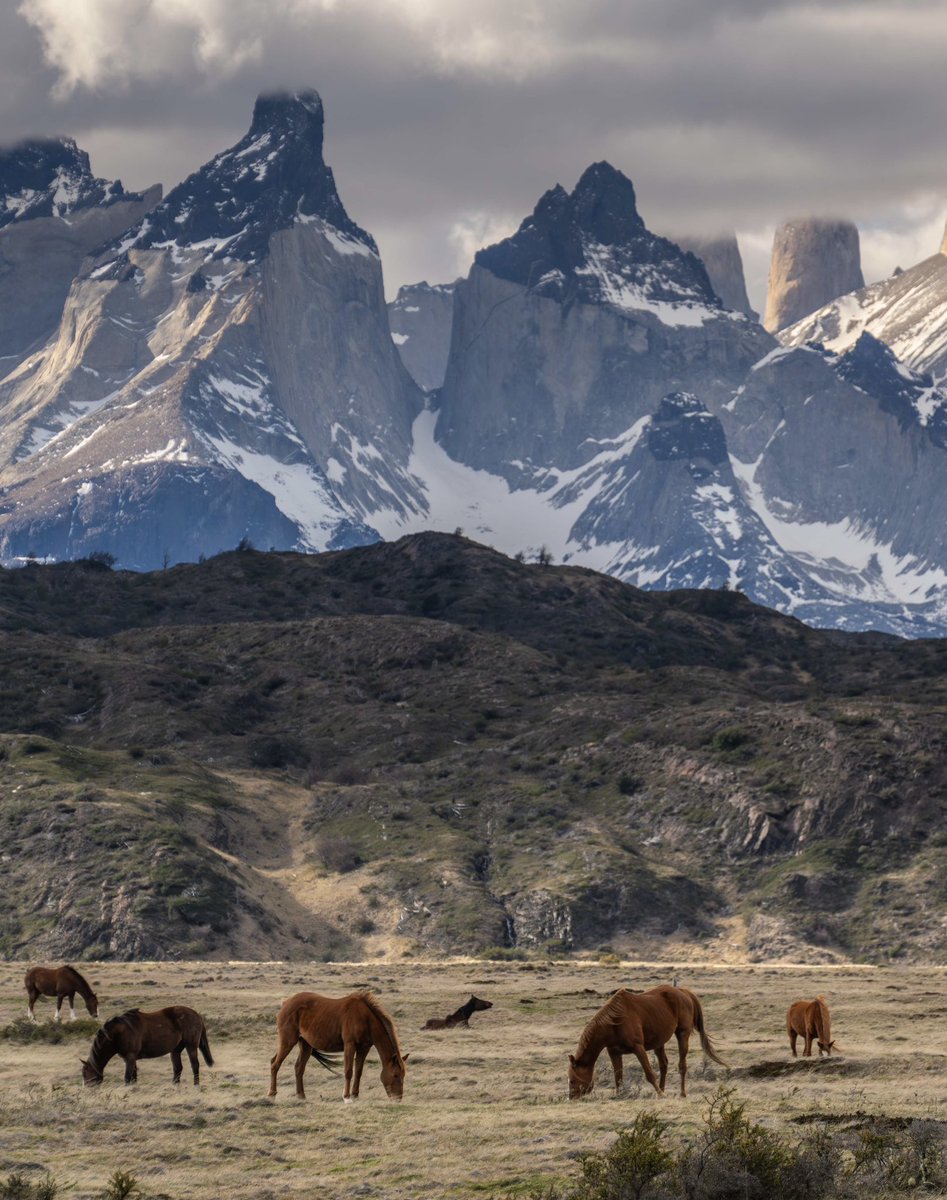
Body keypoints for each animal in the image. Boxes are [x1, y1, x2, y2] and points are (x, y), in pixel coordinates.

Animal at [81, 1007, 213, 1086]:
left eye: (86, 1074)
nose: (88, 1090)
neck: (119, 1033)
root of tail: (197, 1015)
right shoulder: (130, 1059)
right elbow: (133, 1077)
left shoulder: (130, 1057)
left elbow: (127, 1078)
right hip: (176, 1050)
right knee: (178, 1068)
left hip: (191, 1046)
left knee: (195, 1065)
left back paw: (196, 1085)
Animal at [269, 990, 408, 1102]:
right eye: (395, 1075)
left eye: (403, 1075)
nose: (398, 1099)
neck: (365, 1018)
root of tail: (286, 1002)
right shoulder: (349, 1045)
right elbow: (348, 1071)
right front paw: (347, 1097)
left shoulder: (364, 1049)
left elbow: (358, 1072)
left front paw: (355, 1095)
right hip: (288, 1041)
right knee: (275, 1064)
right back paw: (272, 1094)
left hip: (305, 1046)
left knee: (299, 1068)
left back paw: (301, 1096)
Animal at [568, 985, 727, 1099]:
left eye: (572, 1079)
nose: (571, 1098)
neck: (614, 1023)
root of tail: (684, 992)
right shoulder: (614, 1052)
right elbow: (618, 1076)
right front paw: (619, 1094)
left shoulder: (638, 1048)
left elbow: (649, 1074)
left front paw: (661, 1095)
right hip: (659, 1043)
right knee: (664, 1065)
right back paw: (662, 1090)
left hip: (682, 1034)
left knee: (682, 1065)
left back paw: (681, 1093)